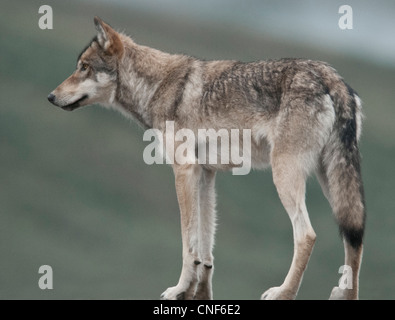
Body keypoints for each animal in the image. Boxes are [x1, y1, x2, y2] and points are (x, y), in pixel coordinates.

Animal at [48, 16, 366, 298]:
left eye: (84, 68)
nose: (51, 96)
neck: (156, 88)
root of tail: (331, 76)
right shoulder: (206, 174)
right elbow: (205, 246)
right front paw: (197, 291)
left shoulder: (184, 170)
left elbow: (187, 243)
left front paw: (178, 289)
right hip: (331, 181)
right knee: (354, 235)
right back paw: (345, 294)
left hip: (286, 175)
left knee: (307, 235)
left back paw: (283, 292)